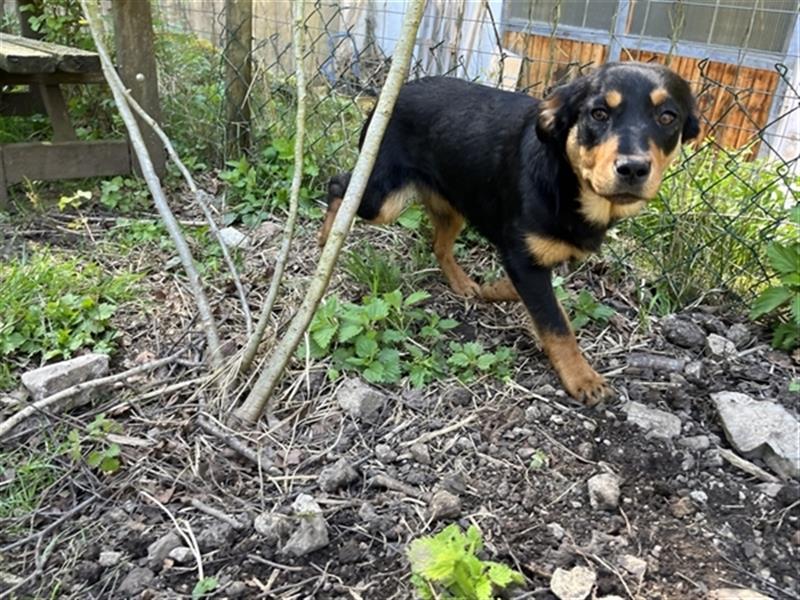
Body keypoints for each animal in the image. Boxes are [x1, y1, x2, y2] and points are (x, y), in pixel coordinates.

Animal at [316, 61, 696, 406]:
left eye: (668, 117)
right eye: (598, 114)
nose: (633, 168)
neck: (567, 181)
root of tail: (394, 91)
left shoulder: (537, 257)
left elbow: (538, 300)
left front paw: (493, 290)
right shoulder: (522, 257)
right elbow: (556, 324)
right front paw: (582, 378)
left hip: (454, 203)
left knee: (438, 244)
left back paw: (462, 283)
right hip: (382, 199)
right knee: (338, 185)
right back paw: (326, 239)